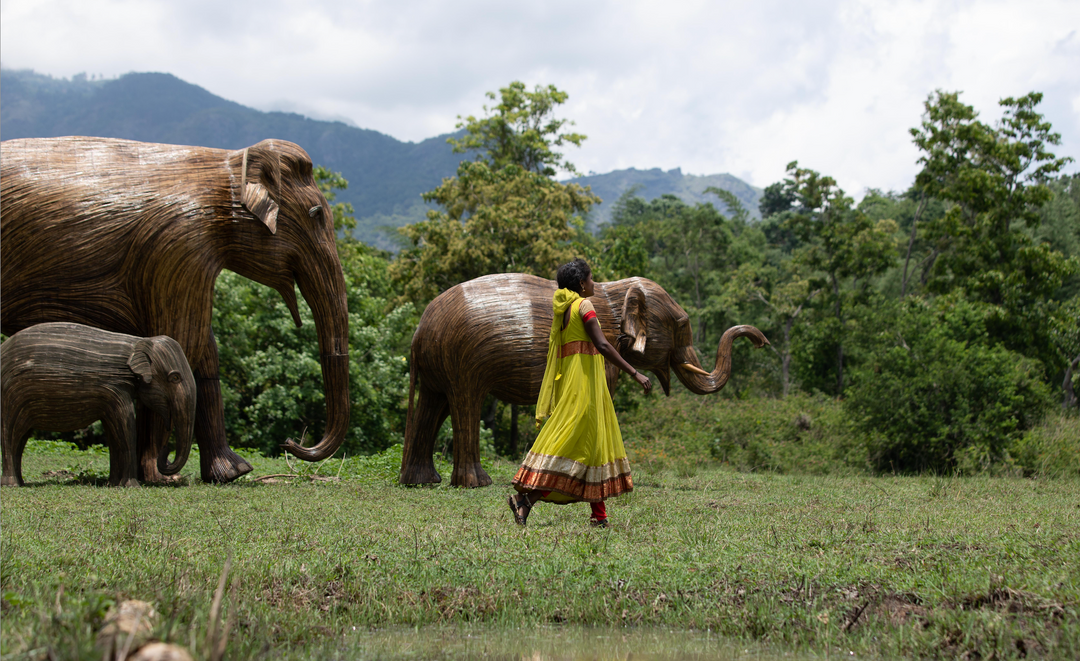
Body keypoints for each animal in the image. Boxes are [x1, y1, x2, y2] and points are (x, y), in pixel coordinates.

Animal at [1, 322, 197, 487]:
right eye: (175, 377)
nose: (164, 451)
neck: (137, 342)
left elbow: (113, 431)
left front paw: (113, 484)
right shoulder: (115, 388)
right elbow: (126, 426)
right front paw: (131, 486)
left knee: (20, 438)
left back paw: (20, 482)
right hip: (9, 397)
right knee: (9, 435)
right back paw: (11, 484)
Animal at [399, 273, 770, 487]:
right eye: (682, 325)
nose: (762, 341)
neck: (613, 291)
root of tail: (418, 332)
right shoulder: (601, 344)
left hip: (439, 364)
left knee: (433, 407)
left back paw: (421, 482)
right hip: (463, 360)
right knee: (465, 406)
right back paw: (477, 483)